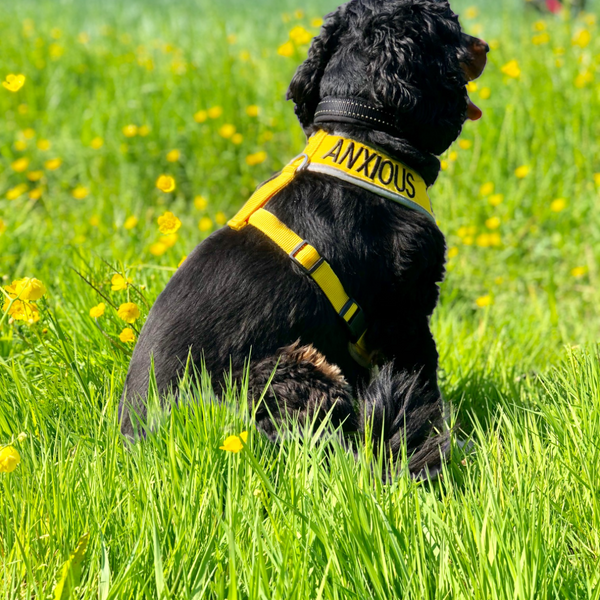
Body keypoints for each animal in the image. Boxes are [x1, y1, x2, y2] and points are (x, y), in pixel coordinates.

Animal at [120, 1, 488, 478]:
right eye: (452, 25)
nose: (485, 45)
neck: (359, 135)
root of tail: (144, 446)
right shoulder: (407, 316)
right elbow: (424, 382)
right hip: (290, 366)